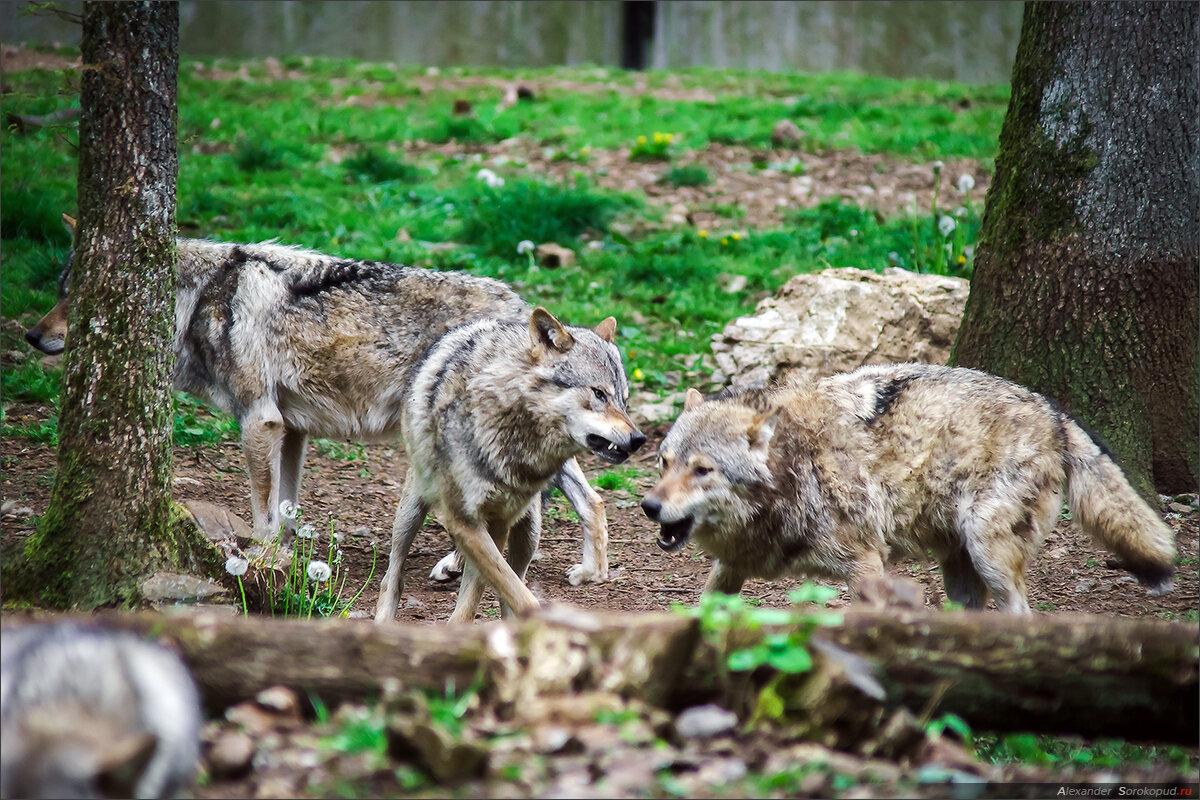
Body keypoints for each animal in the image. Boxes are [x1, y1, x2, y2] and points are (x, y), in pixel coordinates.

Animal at [27, 215, 614, 585]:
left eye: (81, 296)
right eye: (60, 290)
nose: (32, 337)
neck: (201, 298)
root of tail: (519, 305)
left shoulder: (258, 421)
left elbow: (261, 507)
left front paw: (261, 560)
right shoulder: (291, 430)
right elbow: (285, 508)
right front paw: (284, 559)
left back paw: (461, 564)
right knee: (591, 497)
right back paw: (589, 572)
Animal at [376, 309, 648, 623]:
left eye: (624, 401)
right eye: (599, 394)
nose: (639, 439)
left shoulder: (499, 523)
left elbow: (490, 594)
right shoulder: (463, 521)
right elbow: (511, 593)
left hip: (530, 528)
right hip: (411, 512)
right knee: (393, 576)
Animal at [643, 362, 1176, 614]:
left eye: (703, 470)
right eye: (664, 463)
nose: (649, 505)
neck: (792, 471)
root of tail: (1055, 412)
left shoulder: (866, 564)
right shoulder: (731, 568)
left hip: (988, 554)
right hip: (961, 571)